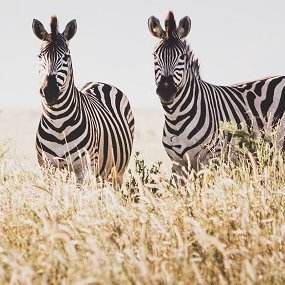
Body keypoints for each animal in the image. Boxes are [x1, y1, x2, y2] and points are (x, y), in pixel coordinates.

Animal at [32, 16, 134, 184]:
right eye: (40, 56)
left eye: (66, 57)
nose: (49, 92)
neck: (58, 124)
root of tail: (99, 82)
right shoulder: (46, 168)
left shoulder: (83, 169)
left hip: (116, 171)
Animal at [148, 11, 284, 174]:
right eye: (154, 56)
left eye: (182, 57)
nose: (166, 90)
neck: (175, 118)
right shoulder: (178, 165)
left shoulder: (211, 159)